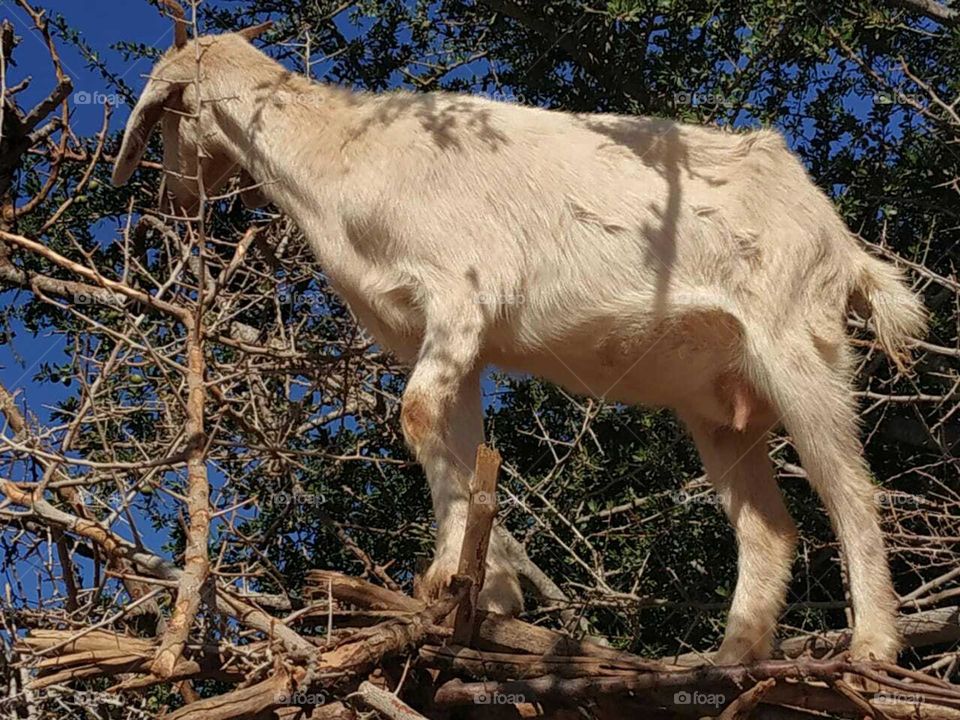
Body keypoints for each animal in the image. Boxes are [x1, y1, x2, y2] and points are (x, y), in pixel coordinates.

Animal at [112, 20, 927, 664]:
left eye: (165, 119)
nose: (173, 200)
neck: (344, 155)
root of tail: (838, 237)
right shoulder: (451, 339)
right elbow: (450, 434)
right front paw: (476, 589)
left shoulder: (460, 294)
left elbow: (414, 417)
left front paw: (471, 575)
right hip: (719, 402)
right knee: (770, 528)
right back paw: (729, 658)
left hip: (797, 341)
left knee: (851, 490)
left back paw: (872, 646)